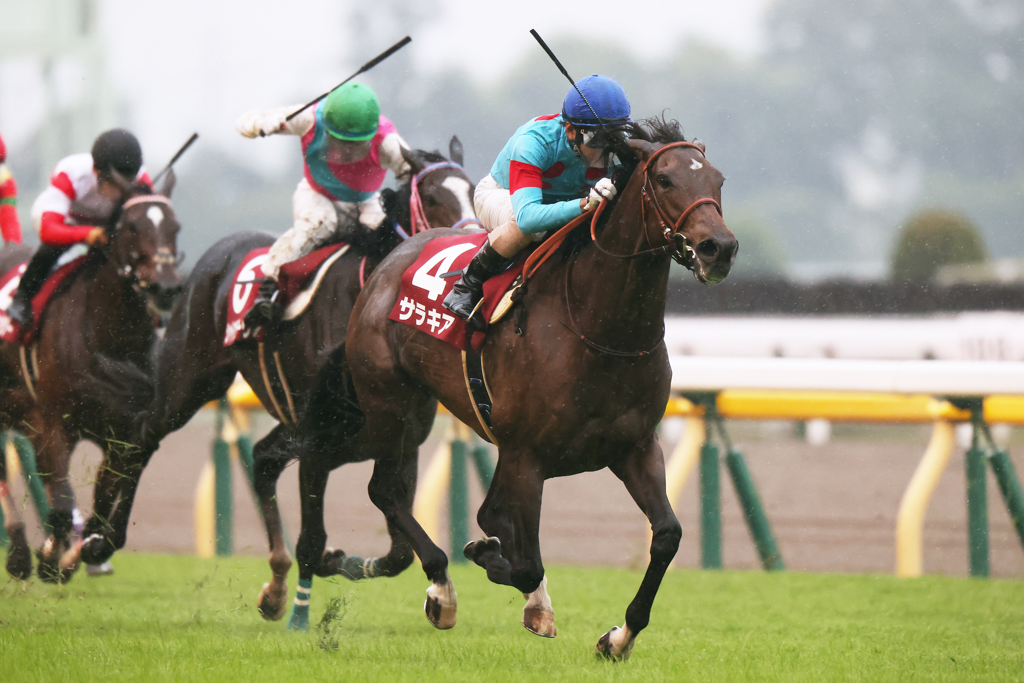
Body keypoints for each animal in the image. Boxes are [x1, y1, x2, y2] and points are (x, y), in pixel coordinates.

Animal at [0, 178, 183, 581]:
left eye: (175, 227)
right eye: (131, 227)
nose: (165, 288)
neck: (110, 342)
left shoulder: (123, 435)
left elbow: (105, 505)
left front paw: (80, 553)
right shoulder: (54, 426)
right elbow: (61, 507)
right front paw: (51, 559)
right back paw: (19, 553)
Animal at [67, 143, 475, 626]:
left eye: (473, 189)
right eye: (432, 197)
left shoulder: (398, 440)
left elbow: (395, 553)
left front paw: (336, 566)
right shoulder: (318, 444)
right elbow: (314, 540)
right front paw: (306, 599)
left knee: (260, 458)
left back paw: (274, 584)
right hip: (188, 382)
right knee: (143, 439)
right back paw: (100, 540)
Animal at [319, 120, 737, 659]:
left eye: (717, 180)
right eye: (664, 179)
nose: (719, 248)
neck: (599, 328)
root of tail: (392, 260)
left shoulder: (634, 446)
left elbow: (666, 534)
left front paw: (619, 637)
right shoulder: (527, 455)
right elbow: (526, 562)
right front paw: (502, 572)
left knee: (474, 509)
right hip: (391, 402)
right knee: (387, 490)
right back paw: (443, 591)